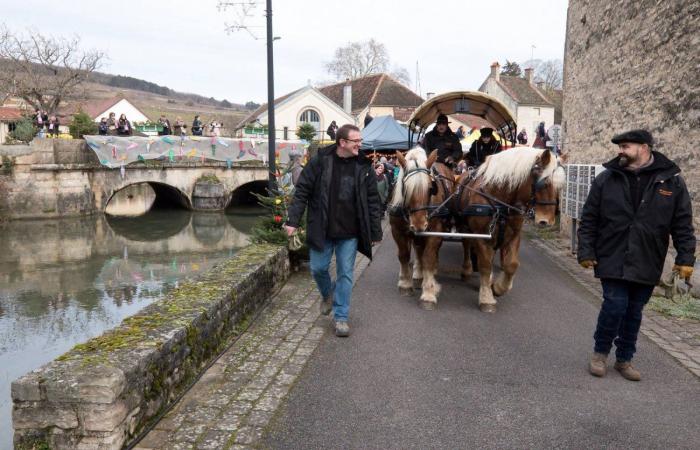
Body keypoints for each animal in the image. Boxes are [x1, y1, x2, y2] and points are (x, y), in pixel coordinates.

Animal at [388, 148, 454, 310]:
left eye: (431, 189)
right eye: (405, 188)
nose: (419, 224)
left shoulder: (435, 231)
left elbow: (429, 258)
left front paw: (429, 293)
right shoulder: (397, 230)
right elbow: (404, 255)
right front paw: (405, 284)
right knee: (418, 249)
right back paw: (418, 274)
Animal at [456, 148, 568, 312]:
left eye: (560, 187)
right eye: (545, 184)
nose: (546, 221)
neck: (500, 202)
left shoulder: (514, 235)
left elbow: (512, 265)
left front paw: (498, 288)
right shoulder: (482, 236)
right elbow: (485, 265)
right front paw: (486, 298)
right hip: (465, 227)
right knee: (466, 244)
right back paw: (466, 269)